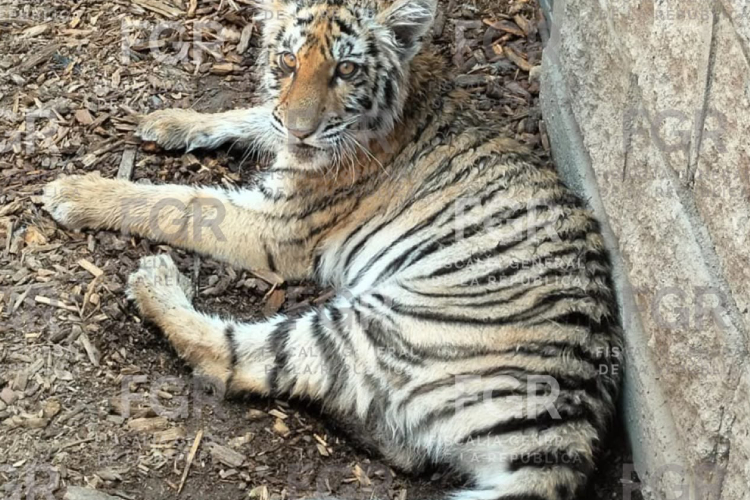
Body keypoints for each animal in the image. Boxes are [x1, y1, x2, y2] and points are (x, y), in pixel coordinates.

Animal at [41, 0, 623, 499]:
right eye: (287, 60)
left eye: (346, 70)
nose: (303, 130)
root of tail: (570, 434)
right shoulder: (279, 134)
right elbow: (255, 114)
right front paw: (170, 120)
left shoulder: (277, 226)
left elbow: (176, 203)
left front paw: (75, 192)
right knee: (405, 446)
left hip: (384, 322)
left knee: (238, 359)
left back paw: (155, 282)